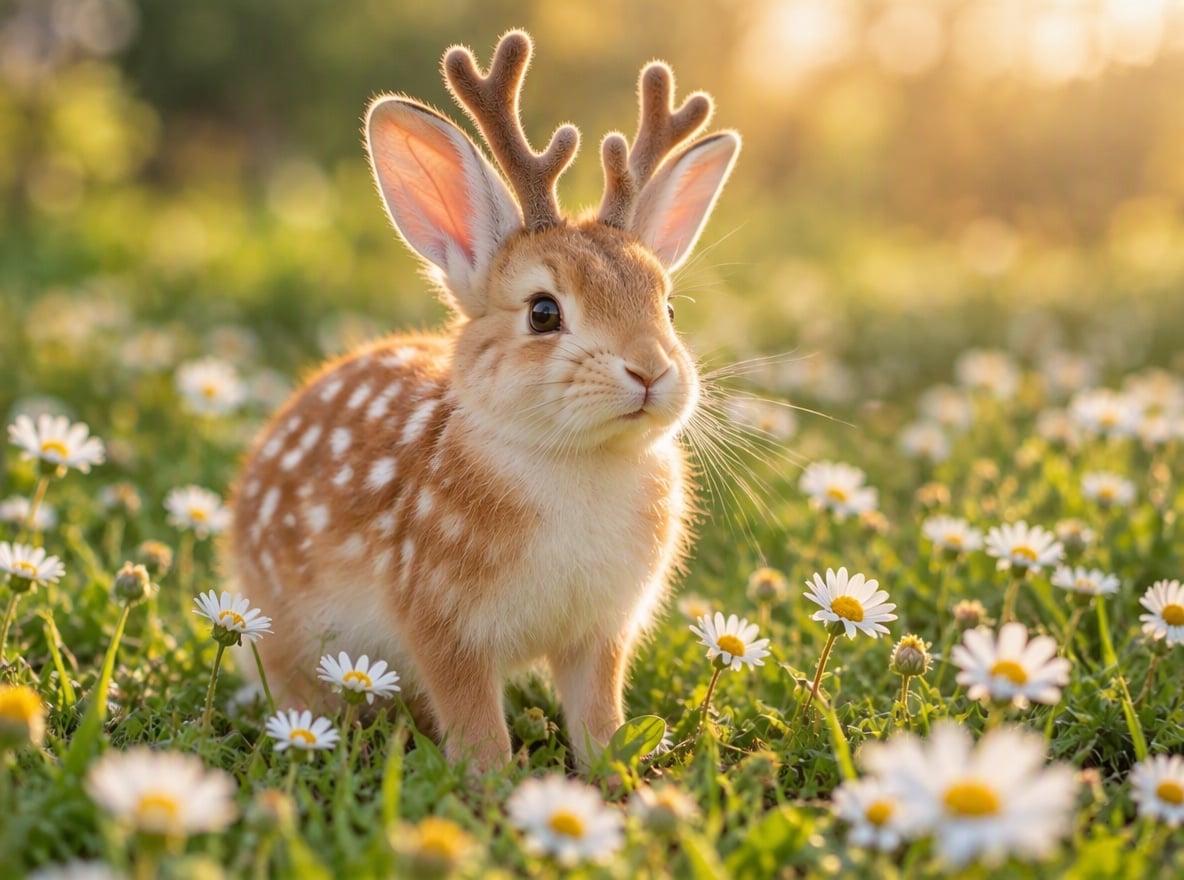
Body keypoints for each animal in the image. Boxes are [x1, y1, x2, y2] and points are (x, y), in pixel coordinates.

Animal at [227, 29, 739, 771]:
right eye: (544, 313)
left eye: (668, 308)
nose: (650, 371)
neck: (576, 460)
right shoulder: (443, 626)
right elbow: (474, 724)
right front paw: (493, 784)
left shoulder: (599, 636)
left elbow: (597, 714)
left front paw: (612, 775)